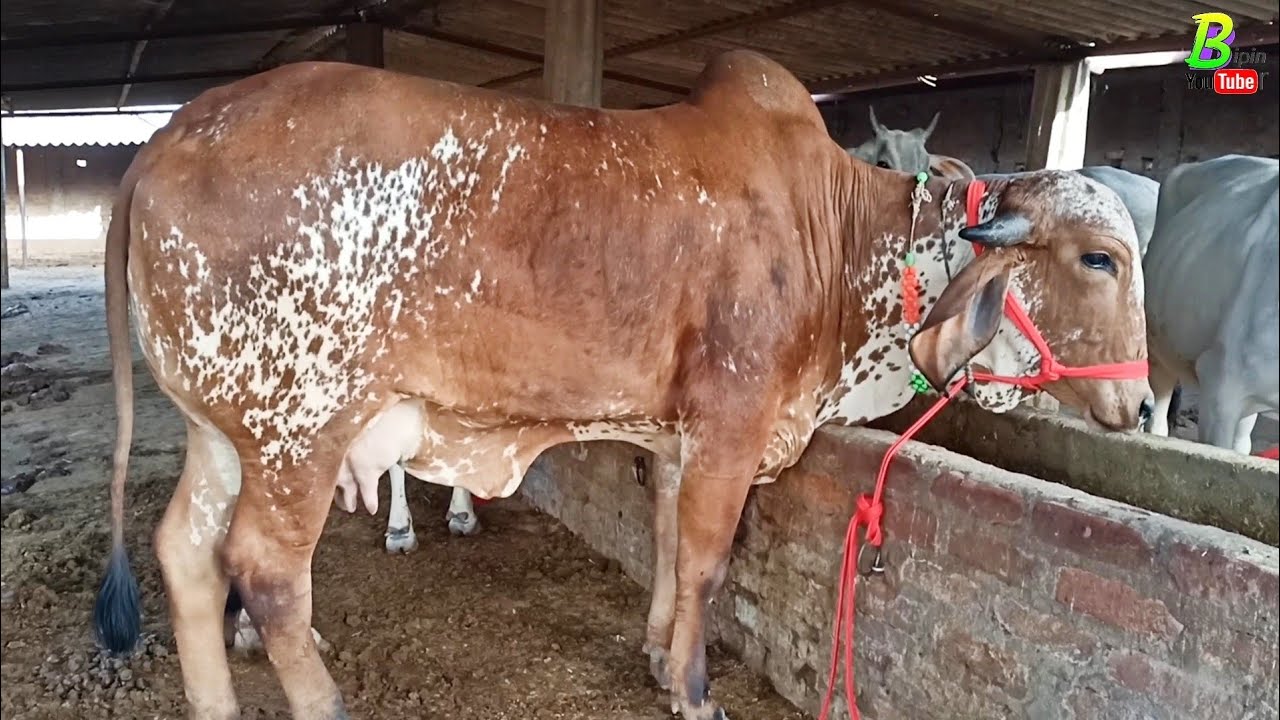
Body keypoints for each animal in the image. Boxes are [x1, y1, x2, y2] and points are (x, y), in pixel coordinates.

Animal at [92, 50, 1152, 720]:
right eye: (1098, 259)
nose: (1141, 403)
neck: (838, 236)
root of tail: (169, 139)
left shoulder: (681, 440)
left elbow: (669, 552)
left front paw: (655, 655)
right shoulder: (730, 429)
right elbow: (708, 565)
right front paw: (694, 691)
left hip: (226, 429)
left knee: (185, 553)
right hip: (299, 428)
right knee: (267, 574)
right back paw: (327, 702)